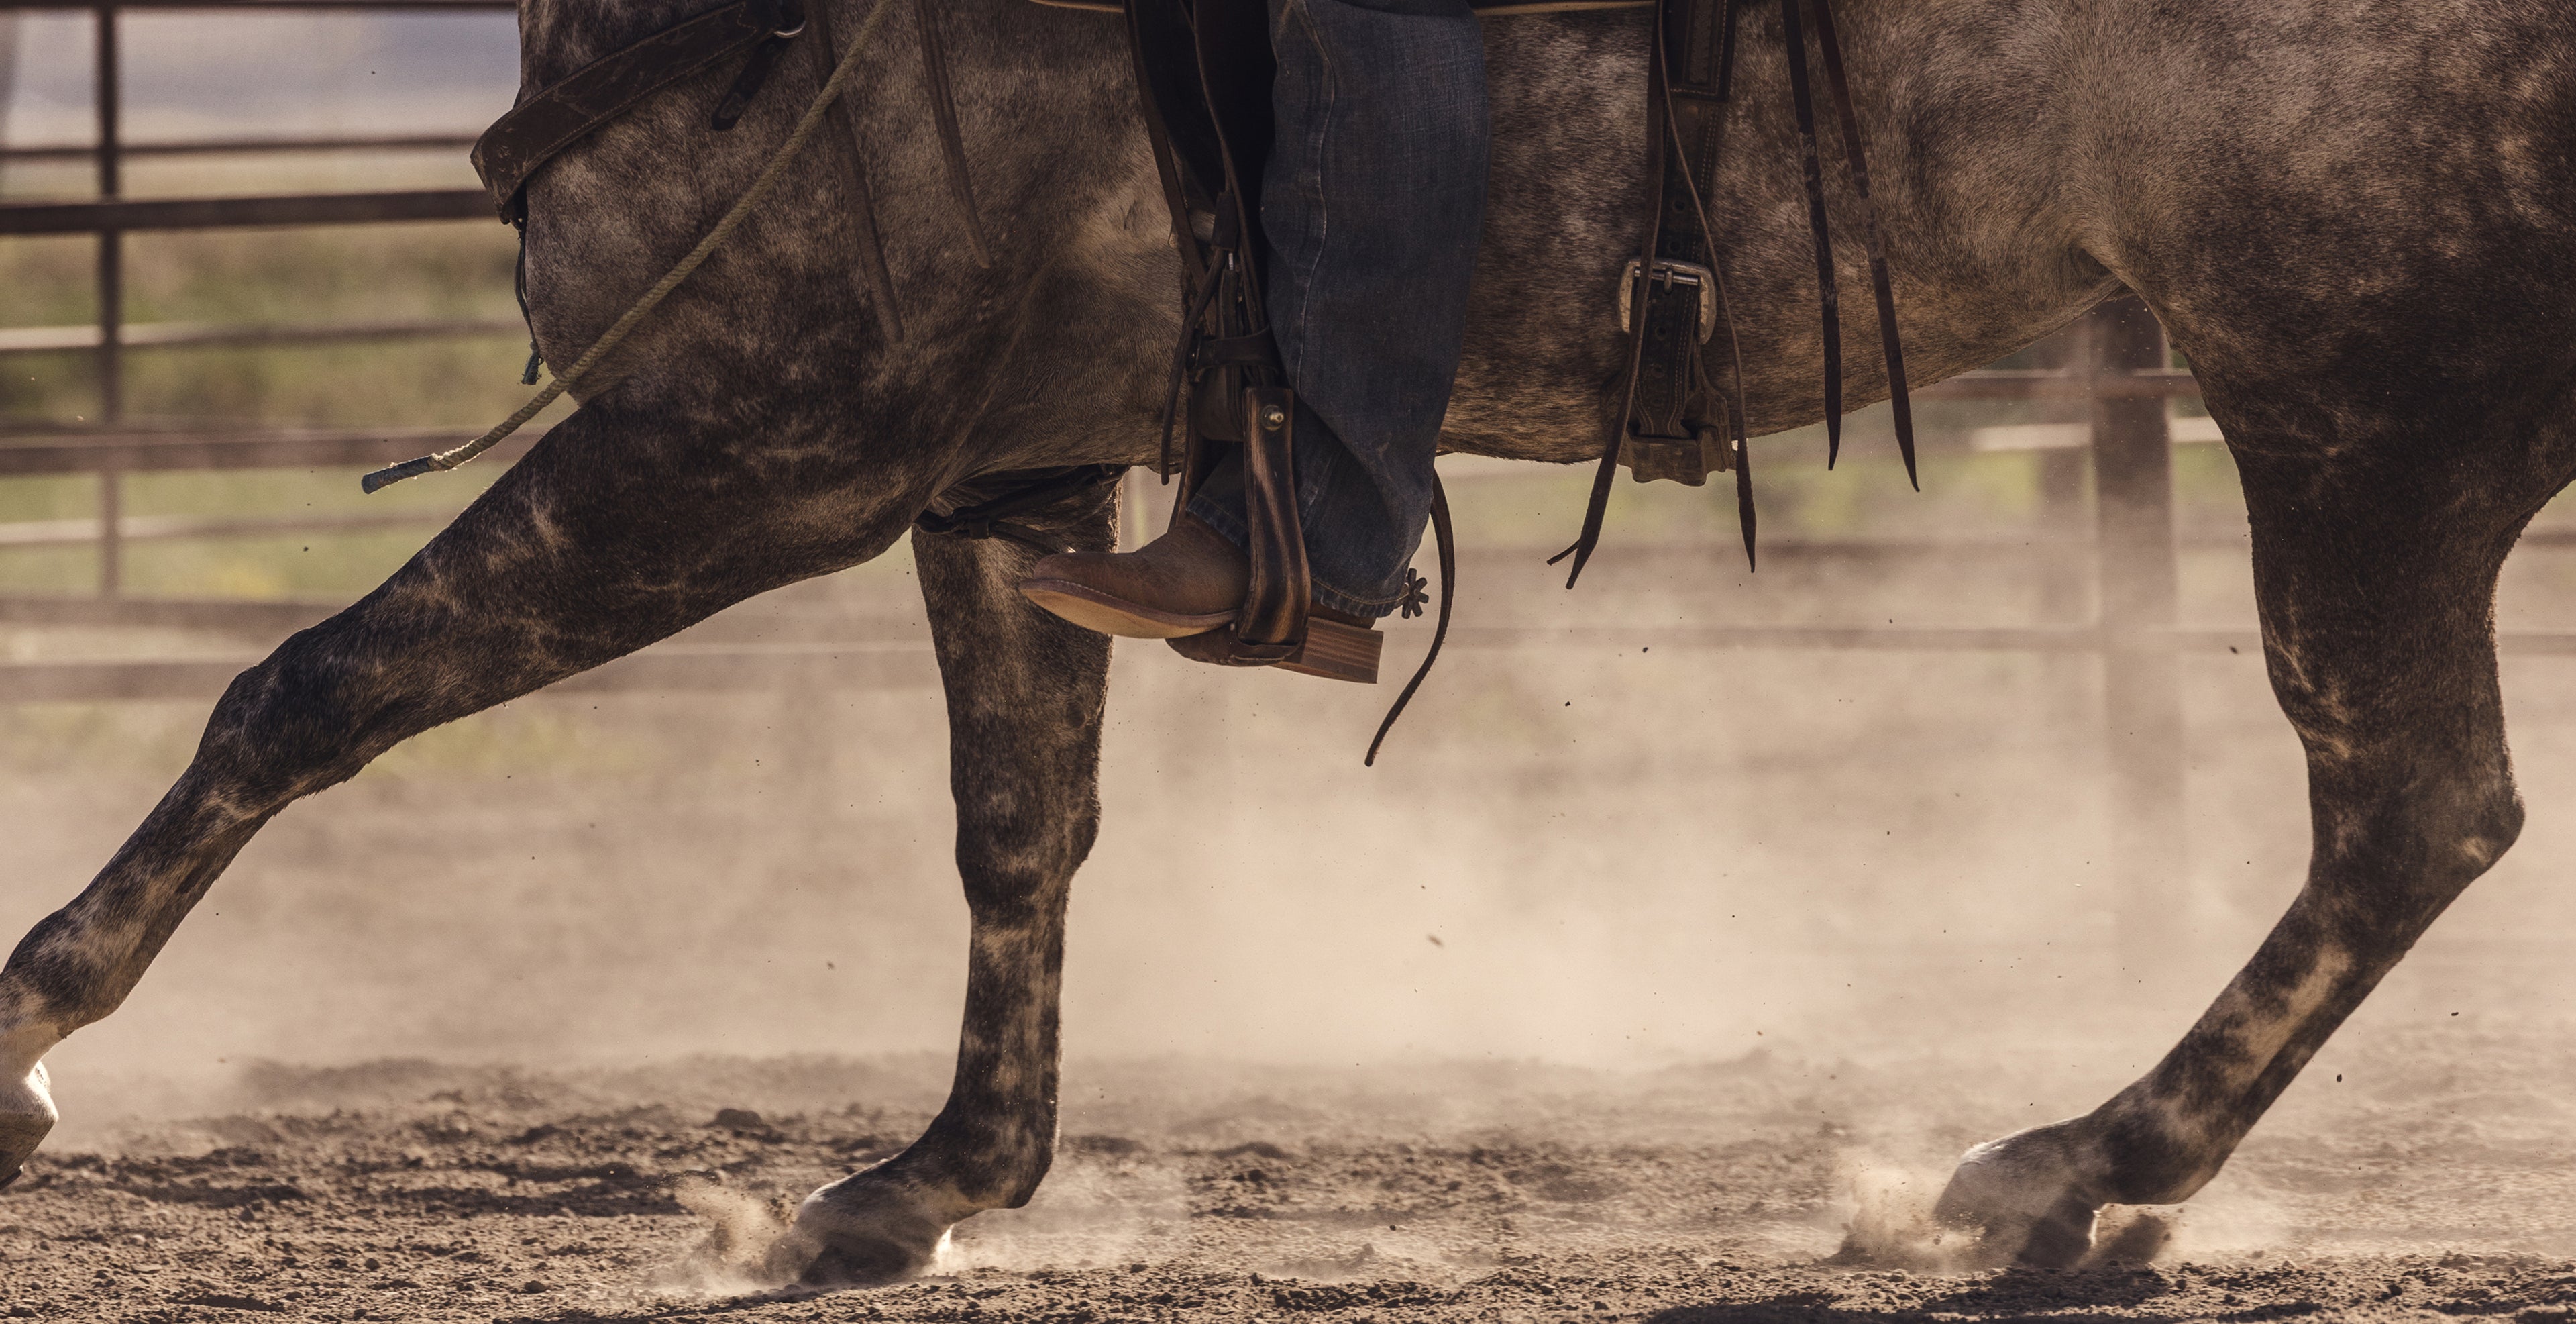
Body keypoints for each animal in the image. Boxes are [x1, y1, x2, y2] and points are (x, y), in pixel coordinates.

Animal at [4, 0, 2570, 1286]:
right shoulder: (1013, 464)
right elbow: (1018, 824)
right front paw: (937, 1177)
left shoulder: (750, 440)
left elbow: (309, 687)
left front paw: (30, 1032)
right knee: (2415, 811)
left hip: (2345, 387)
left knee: (2409, 802)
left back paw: (2064, 1165)